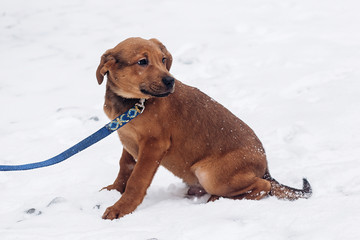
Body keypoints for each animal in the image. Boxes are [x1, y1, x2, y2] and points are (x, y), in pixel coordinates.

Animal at [96, 37, 312, 219]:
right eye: (142, 62)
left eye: (163, 59)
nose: (170, 81)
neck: (135, 103)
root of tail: (265, 168)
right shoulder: (127, 138)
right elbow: (125, 166)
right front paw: (115, 189)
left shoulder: (154, 145)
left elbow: (137, 179)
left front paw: (121, 208)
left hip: (210, 175)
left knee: (263, 186)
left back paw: (218, 199)